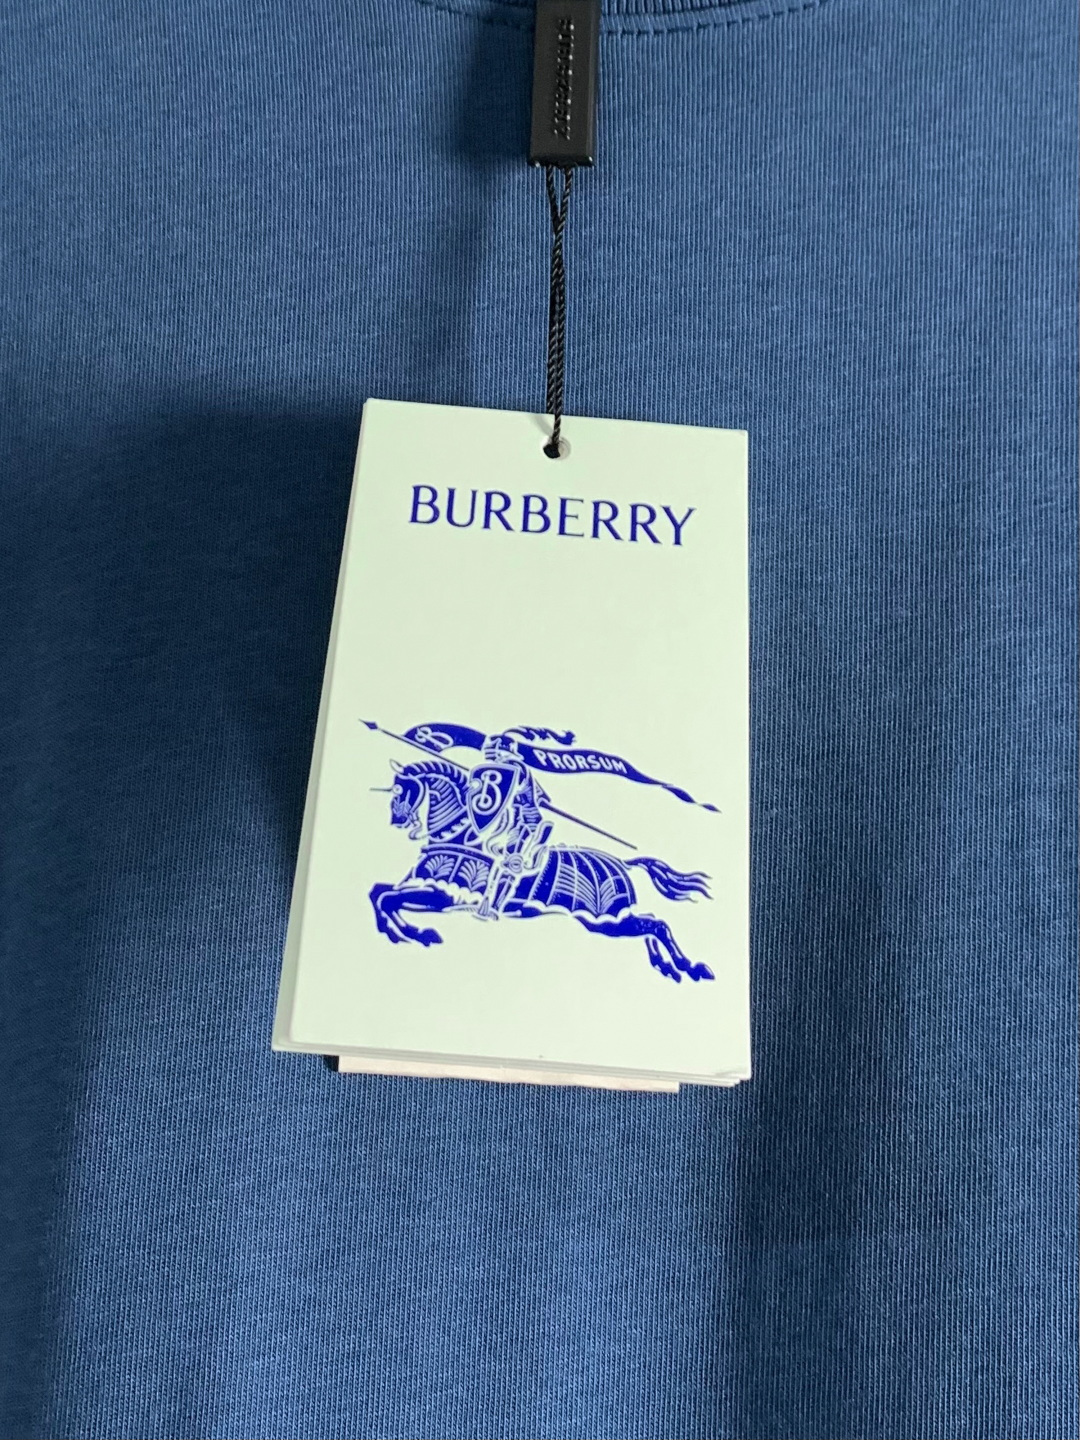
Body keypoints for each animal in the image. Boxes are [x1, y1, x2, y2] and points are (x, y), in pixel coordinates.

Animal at [368, 758, 714, 983]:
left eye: (402, 791)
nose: (397, 820)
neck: (461, 836)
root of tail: (623, 863)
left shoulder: (444, 897)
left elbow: (387, 898)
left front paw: (415, 933)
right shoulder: (425, 889)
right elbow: (379, 893)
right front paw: (402, 931)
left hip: (605, 921)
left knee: (657, 926)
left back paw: (688, 966)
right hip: (611, 922)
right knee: (651, 924)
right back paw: (667, 966)